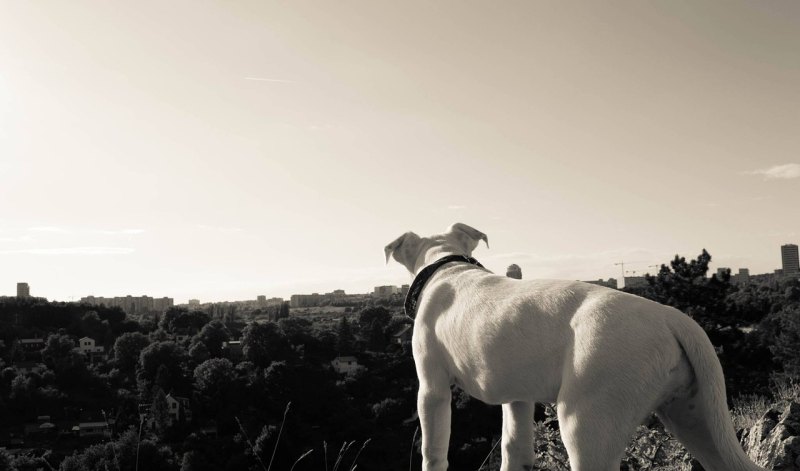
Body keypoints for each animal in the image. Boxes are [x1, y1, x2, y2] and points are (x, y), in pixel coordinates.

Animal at [386, 224, 764, 471]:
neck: (447, 266)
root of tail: (671, 317)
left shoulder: (432, 389)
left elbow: (433, 451)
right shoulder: (518, 398)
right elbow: (515, 448)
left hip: (587, 424)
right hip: (696, 418)